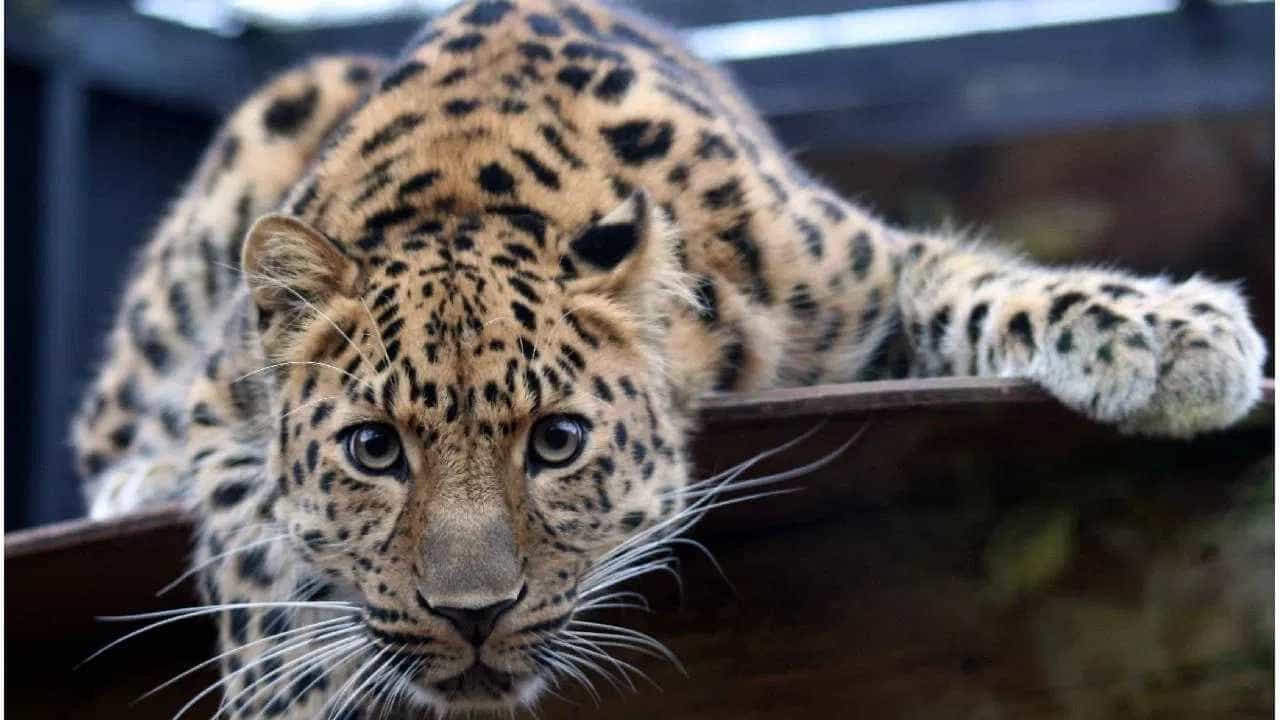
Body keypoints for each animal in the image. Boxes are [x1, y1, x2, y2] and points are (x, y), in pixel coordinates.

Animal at [70, 0, 1268, 716]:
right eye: (373, 450)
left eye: (557, 442)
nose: (472, 615)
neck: (464, 190)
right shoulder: (223, 401)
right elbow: (255, 544)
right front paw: (289, 687)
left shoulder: (863, 272)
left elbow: (984, 286)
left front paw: (1173, 334)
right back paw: (135, 475)